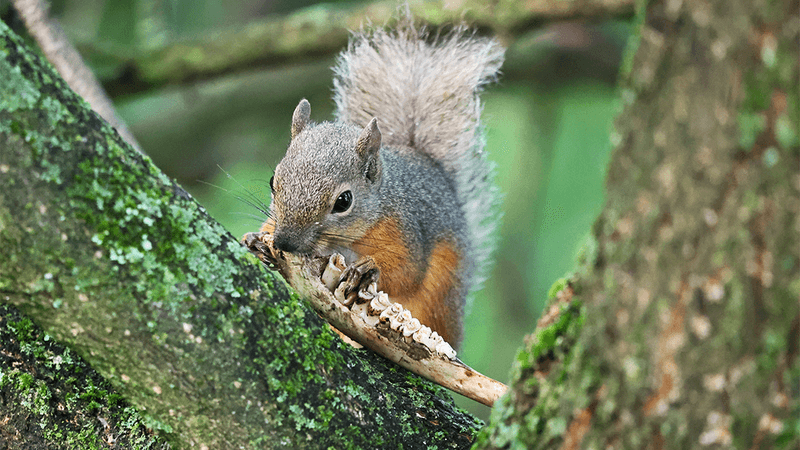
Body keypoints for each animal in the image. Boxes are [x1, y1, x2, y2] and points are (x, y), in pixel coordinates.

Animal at [260, 18, 504, 348]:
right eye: (273, 181)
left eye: (344, 201)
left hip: (441, 299)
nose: (285, 242)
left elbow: (406, 271)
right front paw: (256, 238)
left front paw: (368, 269)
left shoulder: (403, 229)